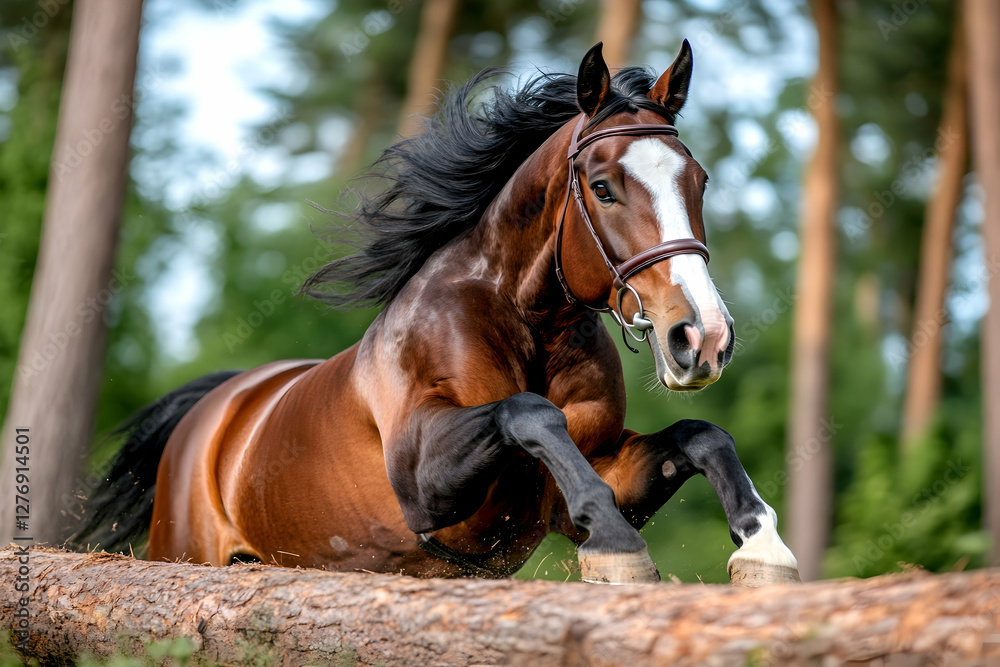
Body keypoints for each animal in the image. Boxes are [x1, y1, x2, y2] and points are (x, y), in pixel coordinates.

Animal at [71, 41, 800, 586]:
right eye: (603, 188)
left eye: (698, 181)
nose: (702, 338)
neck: (525, 323)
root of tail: (218, 405)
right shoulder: (426, 489)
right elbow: (529, 412)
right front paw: (618, 550)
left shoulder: (600, 472)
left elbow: (704, 433)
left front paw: (764, 550)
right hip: (186, 551)